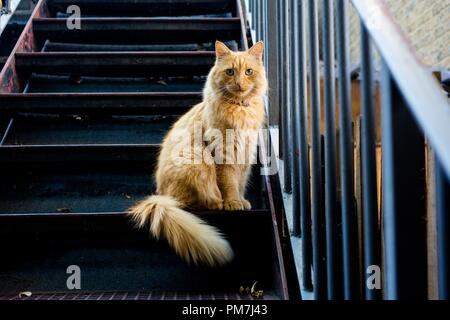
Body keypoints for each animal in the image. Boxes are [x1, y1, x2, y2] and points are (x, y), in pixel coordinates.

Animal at [127, 42, 268, 268]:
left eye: (248, 72)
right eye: (230, 72)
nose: (239, 83)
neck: (239, 109)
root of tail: (159, 197)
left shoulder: (245, 154)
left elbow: (240, 183)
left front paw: (241, 200)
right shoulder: (223, 154)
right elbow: (229, 183)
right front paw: (232, 203)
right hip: (196, 159)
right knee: (190, 201)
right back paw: (215, 203)